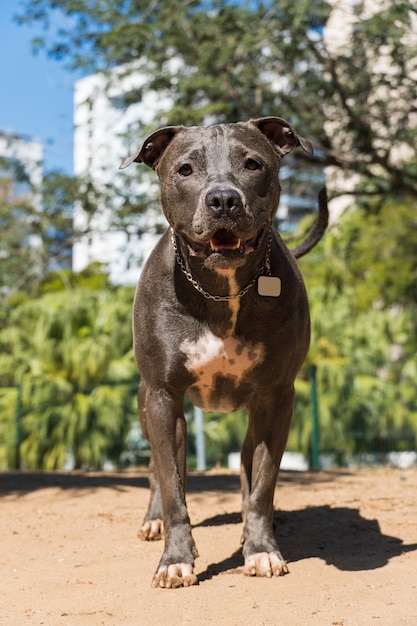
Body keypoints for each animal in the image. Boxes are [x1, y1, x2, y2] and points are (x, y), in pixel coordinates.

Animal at [118, 116, 326, 584]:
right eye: (185, 169)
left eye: (252, 164)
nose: (224, 199)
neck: (223, 289)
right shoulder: (164, 397)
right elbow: (172, 486)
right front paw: (176, 558)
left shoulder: (276, 398)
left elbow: (263, 484)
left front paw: (261, 549)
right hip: (145, 405)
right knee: (156, 470)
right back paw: (154, 521)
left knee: (249, 469)